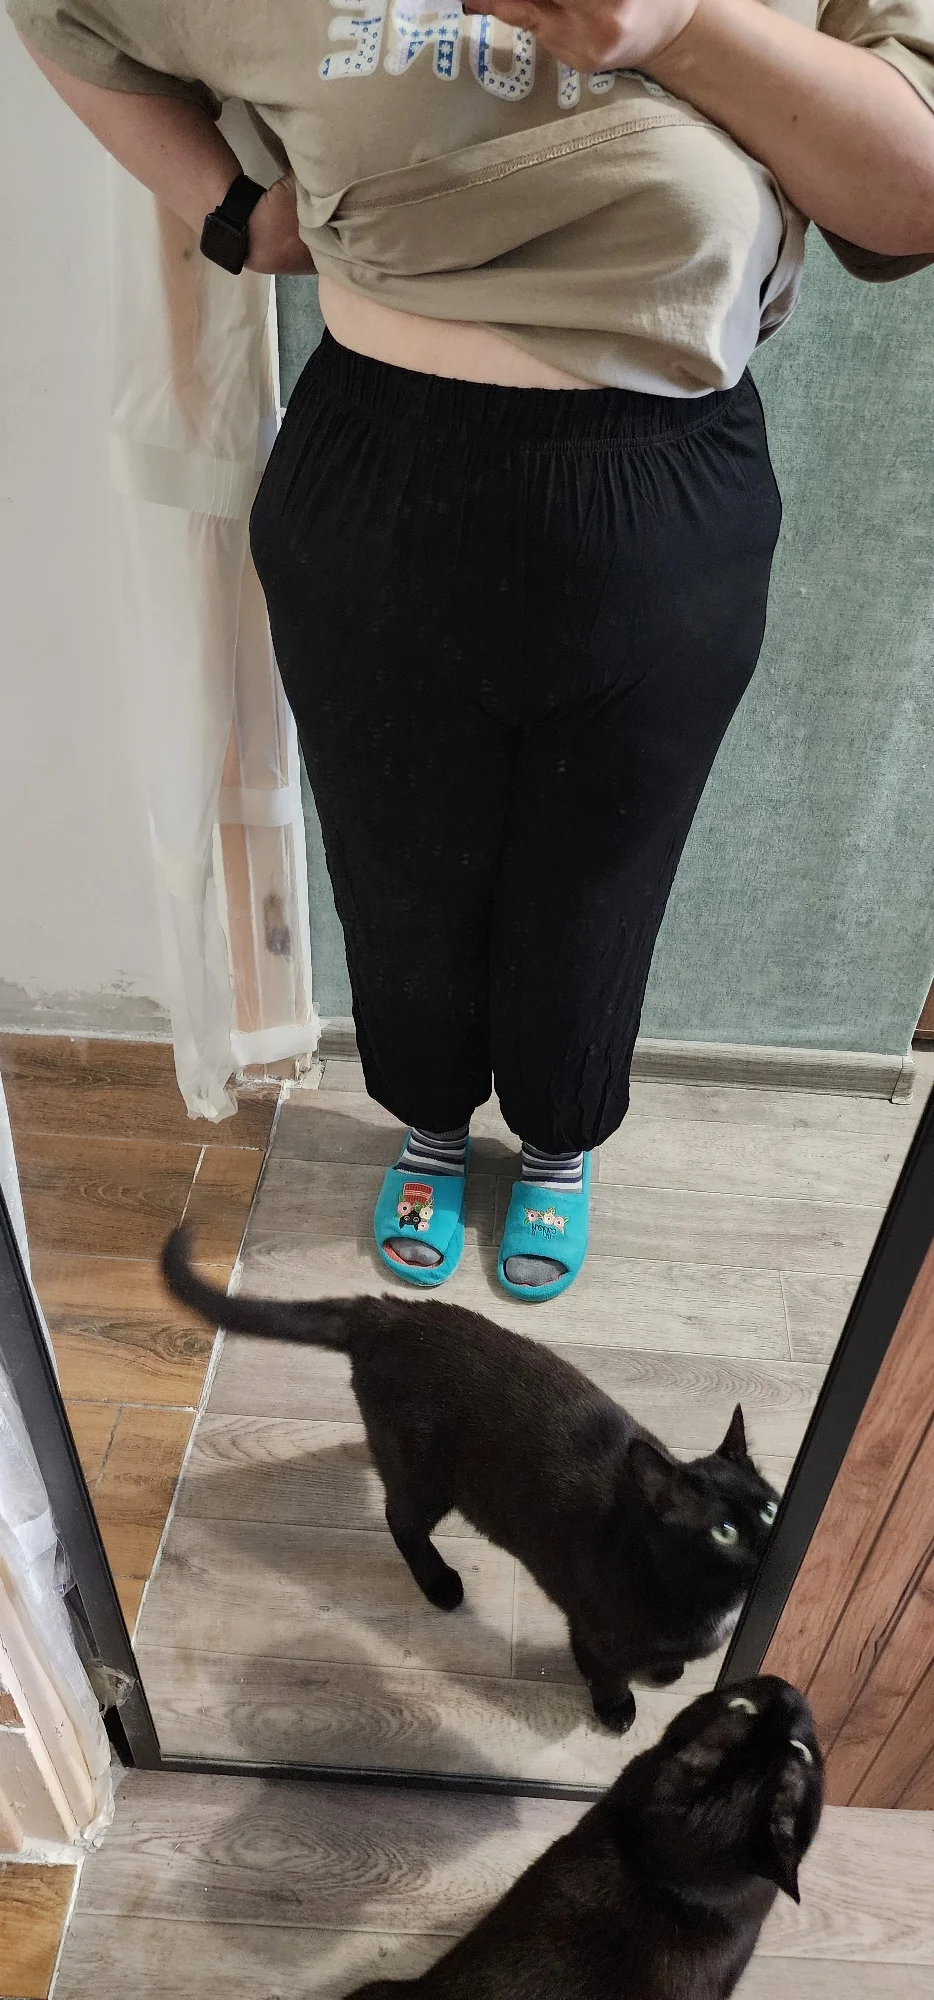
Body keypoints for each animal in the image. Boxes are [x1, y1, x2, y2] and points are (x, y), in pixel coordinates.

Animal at [162, 1228, 780, 1732]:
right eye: (724, 1532)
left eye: (771, 1509)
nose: (772, 1541)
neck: (703, 1600)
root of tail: (387, 1312)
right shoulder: (594, 1630)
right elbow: (604, 1670)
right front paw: (618, 1707)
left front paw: (668, 1670)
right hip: (430, 1477)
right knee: (399, 1518)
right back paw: (439, 1583)